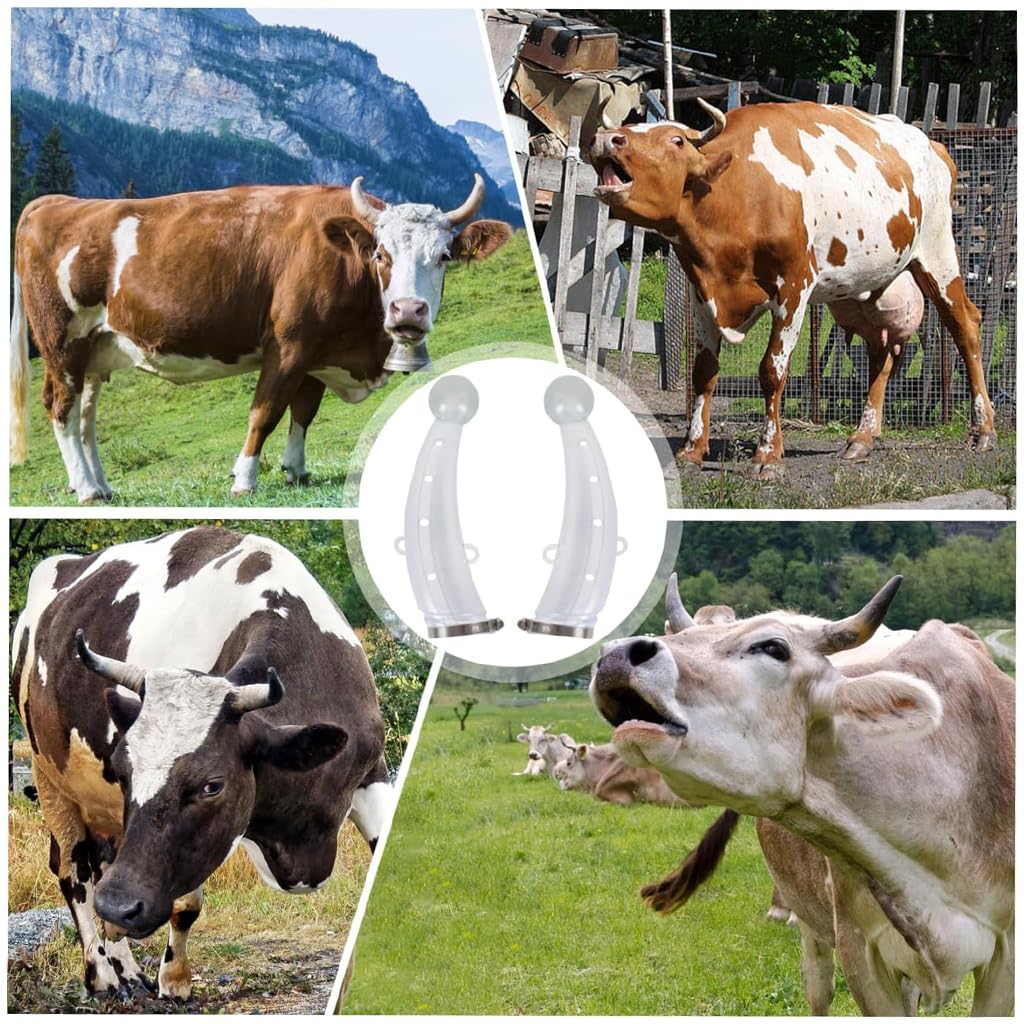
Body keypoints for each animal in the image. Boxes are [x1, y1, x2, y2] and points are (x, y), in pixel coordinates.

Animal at [10, 176, 511, 501]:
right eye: (380, 254)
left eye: (444, 256)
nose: (407, 311)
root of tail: (55, 202)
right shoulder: (289, 346)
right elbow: (265, 414)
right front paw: (244, 479)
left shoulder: (317, 353)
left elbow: (303, 413)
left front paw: (296, 471)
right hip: (62, 341)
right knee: (61, 407)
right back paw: (86, 489)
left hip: (98, 347)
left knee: (86, 417)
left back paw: (99, 484)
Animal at [11, 526, 394, 999]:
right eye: (123, 771)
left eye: (213, 785)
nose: (120, 904)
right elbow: (184, 902)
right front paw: (175, 980)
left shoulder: (372, 773)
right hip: (49, 777)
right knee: (74, 872)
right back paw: (102, 974)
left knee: (101, 868)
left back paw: (127, 969)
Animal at [589, 101, 996, 478]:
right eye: (627, 128)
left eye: (676, 140)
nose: (607, 138)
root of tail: (933, 144)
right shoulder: (702, 295)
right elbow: (704, 370)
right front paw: (692, 451)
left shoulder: (794, 288)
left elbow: (772, 369)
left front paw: (768, 456)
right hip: (868, 289)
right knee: (883, 353)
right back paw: (861, 439)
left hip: (938, 254)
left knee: (965, 327)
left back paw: (983, 430)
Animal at [590, 573, 1013, 1014]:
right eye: (683, 635)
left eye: (774, 647)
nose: (616, 653)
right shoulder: (858, 946)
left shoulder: (1006, 956)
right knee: (819, 990)